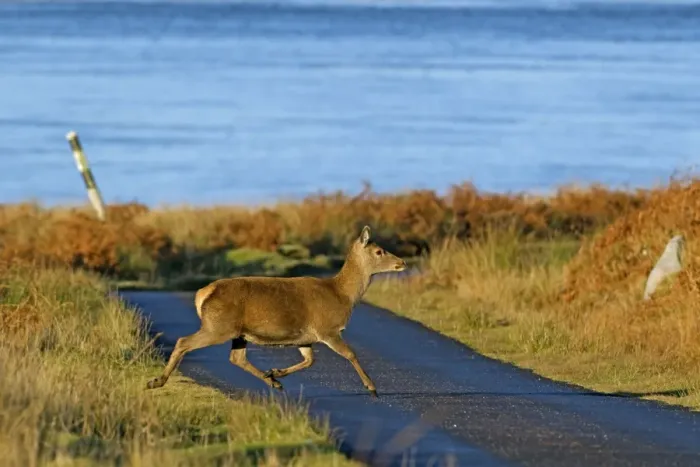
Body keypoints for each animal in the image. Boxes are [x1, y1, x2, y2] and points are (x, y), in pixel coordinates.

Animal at [146, 225, 406, 398]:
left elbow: (309, 360)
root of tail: (203, 293)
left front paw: (276, 372)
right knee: (184, 341)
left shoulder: (305, 337)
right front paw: (372, 387)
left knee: (236, 357)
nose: (402, 262)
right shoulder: (327, 328)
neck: (342, 295)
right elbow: (350, 354)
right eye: (379, 251)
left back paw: (272, 381)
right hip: (218, 326)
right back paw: (157, 381)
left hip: (237, 332)